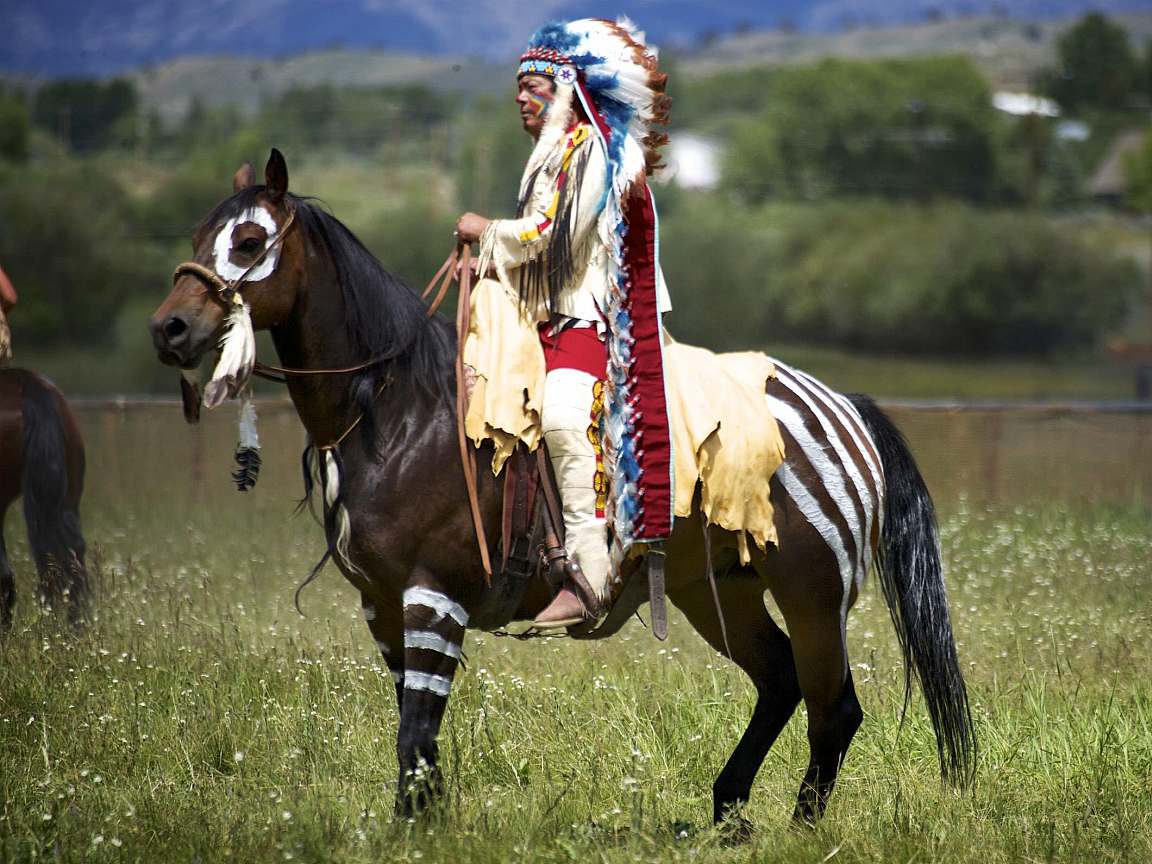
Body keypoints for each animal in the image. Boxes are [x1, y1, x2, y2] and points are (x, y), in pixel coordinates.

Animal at [144, 152, 972, 829]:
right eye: (200, 233)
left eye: (249, 243)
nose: (170, 329)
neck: (403, 410)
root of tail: (840, 406)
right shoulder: (384, 606)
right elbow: (417, 735)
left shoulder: (431, 596)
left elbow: (416, 729)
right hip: (720, 590)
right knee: (780, 684)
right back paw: (727, 811)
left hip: (811, 591)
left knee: (834, 709)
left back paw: (798, 829)